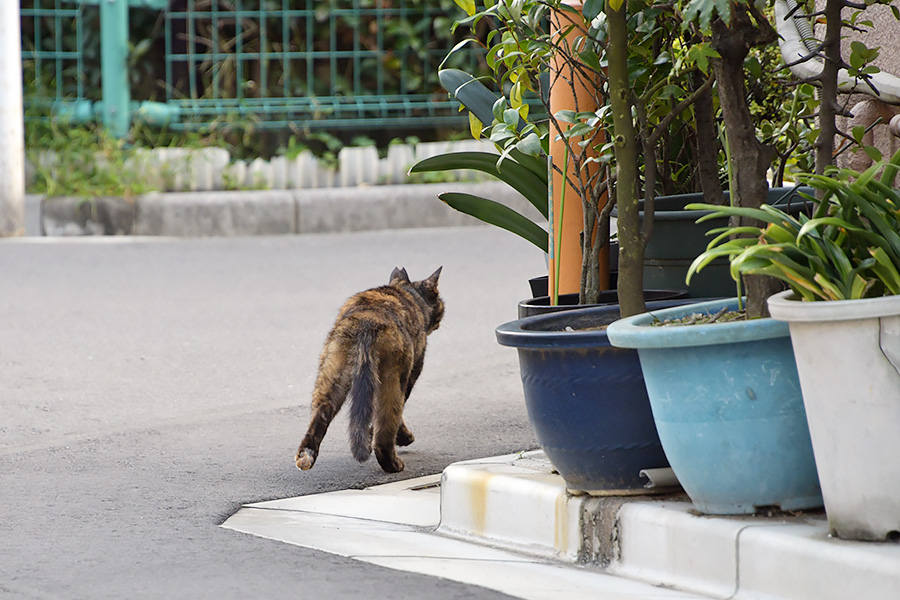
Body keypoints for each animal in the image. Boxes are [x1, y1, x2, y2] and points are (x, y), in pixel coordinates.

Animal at [298, 268, 444, 474]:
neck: (408, 293)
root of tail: (367, 324)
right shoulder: (411, 376)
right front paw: (401, 438)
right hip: (392, 383)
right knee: (385, 428)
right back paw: (393, 464)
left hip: (330, 379)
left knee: (320, 417)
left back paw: (305, 457)